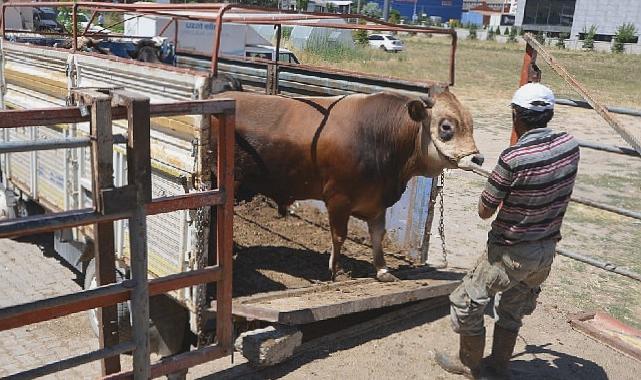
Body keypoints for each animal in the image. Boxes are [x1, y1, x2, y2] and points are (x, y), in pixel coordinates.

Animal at [212, 90, 482, 282]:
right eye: (446, 127)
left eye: (471, 124)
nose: (478, 158)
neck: (378, 135)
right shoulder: (338, 198)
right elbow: (339, 235)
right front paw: (335, 272)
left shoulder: (377, 201)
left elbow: (378, 234)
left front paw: (383, 270)